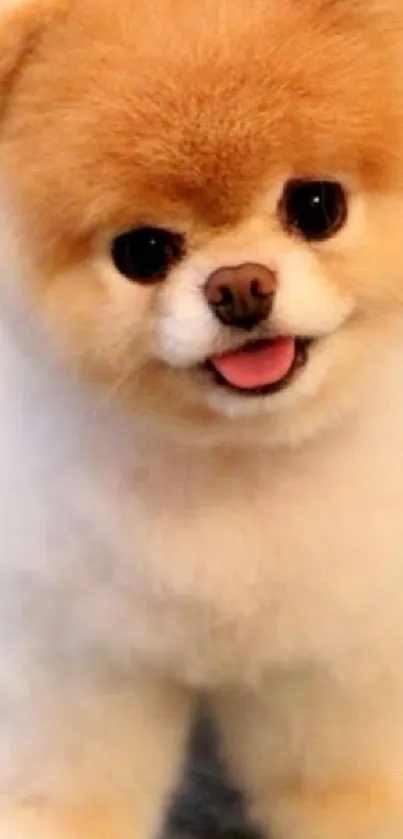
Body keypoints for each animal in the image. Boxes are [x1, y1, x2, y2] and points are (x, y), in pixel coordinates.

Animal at [0, 0, 403, 836]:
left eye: (316, 206)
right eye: (141, 251)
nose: (239, 285)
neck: (225, 465)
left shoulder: (334, 665)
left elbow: (343, 784)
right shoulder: (72, 660)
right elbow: (69, 790)